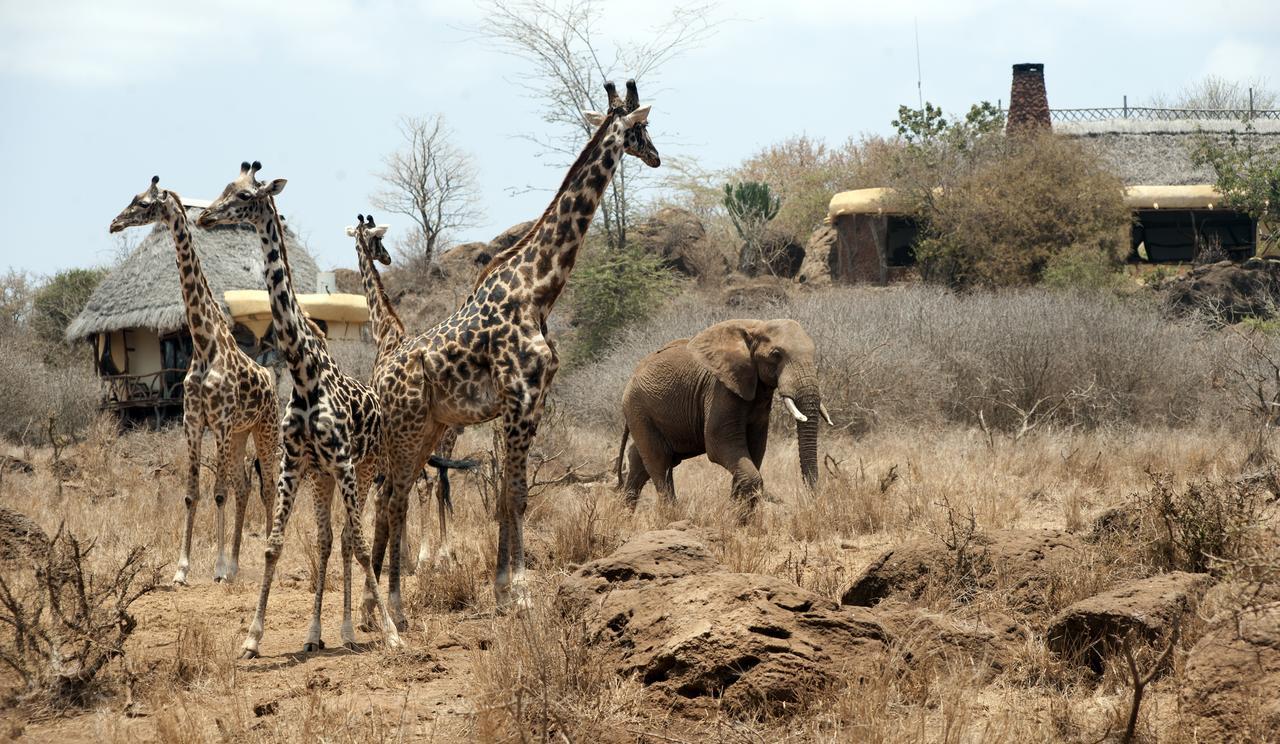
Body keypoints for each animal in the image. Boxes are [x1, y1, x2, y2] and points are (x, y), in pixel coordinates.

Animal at [110, 177, 280, 586]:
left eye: (143, 203)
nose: (114, 224)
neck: (203, 344)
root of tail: (270, 379)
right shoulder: (193, 422)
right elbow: (192, 493)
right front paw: (182, 569)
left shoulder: (219, 423)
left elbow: (217, 492)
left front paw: (215, 568)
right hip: (241, 433)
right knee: (245, 486)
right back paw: (235, 566)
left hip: (265, 429)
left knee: (267, 486)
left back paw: (263, 560)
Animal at [197, 162, 399, 655]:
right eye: (224, 187)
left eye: (244, 194)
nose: (205, 217)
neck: (304, 373)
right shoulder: (294, 463)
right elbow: (273, 546)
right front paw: (252, 637)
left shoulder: (344, 462)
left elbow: (360, 545)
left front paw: (390, 632)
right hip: (322, 478)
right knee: (328, 541)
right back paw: (316, 634)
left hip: (363, 469)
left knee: (347, 540)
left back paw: (349, 630)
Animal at [350, 211, 465, 571]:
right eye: (378, 240)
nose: (386, 258)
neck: (385, 331)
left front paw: (402, 552)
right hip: (443, 441)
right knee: (440, 485)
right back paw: (444, 553)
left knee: (427, 484)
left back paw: (428, 555)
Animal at [366, 78, 655, 617]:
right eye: (642, 127)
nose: (657, 156)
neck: (539, 286)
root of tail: (380, 376)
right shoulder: (521, 395)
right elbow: (517, 494)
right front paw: (520, 592)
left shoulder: (525, 402)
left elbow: (504, 494)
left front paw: (502, 589)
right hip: (405, 426)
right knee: (391, 496)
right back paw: (389, 602)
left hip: (428, 429)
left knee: (392, 494)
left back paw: (376, 605)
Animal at [614, 316, 834, 507]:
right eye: (776, 355)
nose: (812, 499)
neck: (755, 327)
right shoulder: (719, 388)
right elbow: (719, 443)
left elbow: (755, 448)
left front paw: (739, 517)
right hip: (638, 408)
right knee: (660, 464)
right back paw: (671, 515)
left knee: (640, 463)